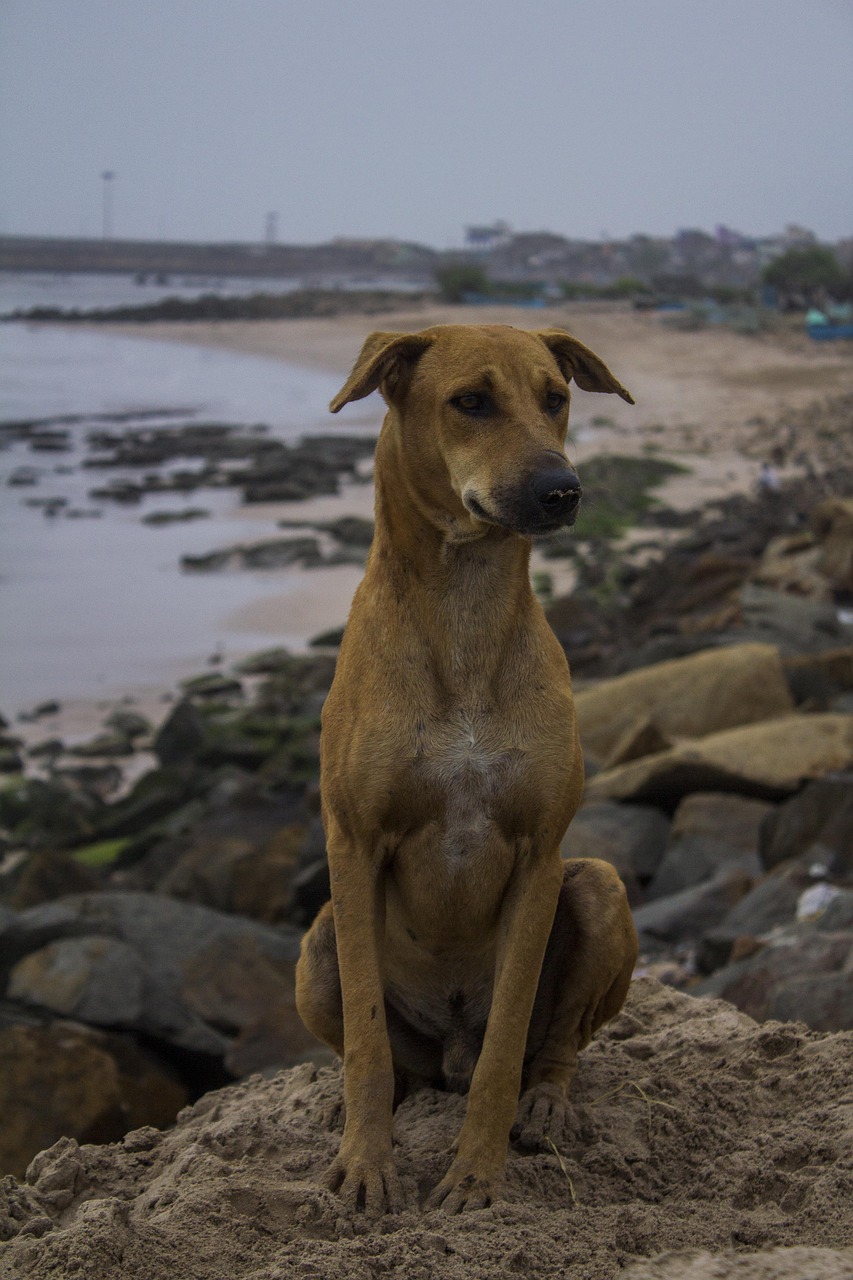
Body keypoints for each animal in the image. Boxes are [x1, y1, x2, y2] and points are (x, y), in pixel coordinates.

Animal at [295, 325, 635, 1213]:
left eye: (555, 397)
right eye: (469, 401)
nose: (562, 490)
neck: (464, 609)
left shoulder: (540, 856)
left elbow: (507, 1042)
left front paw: (477, 1171)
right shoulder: (352, 844)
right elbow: (365, 1045)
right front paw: (366, 1166)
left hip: (598, 887)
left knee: (552, 1047)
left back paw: (545, 1105)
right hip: (316, 943)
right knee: (393, 1064)